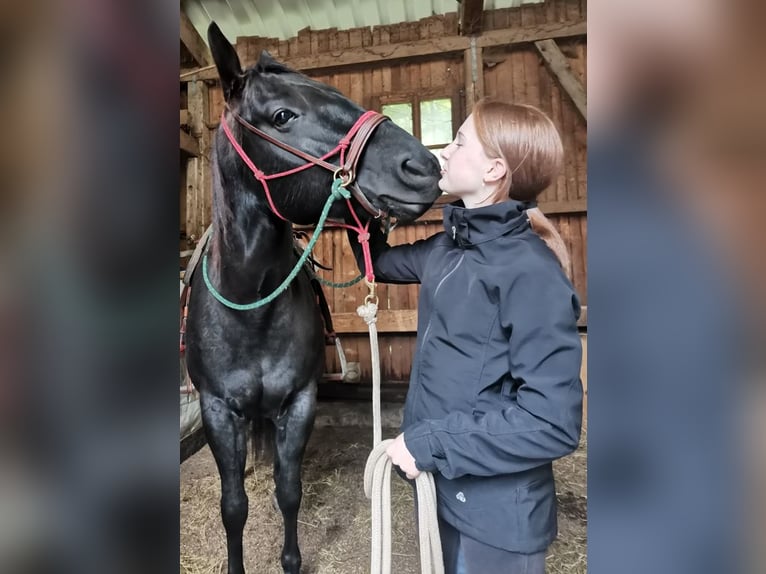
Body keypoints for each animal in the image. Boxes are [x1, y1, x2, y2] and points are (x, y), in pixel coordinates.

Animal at [184, 22, 442, 574]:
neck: (251, 303)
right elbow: (233, 505)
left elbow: (288, 491)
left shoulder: (300, 401)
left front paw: (291, 561)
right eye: (283, 115)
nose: (423, 165)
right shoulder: (217, 410)